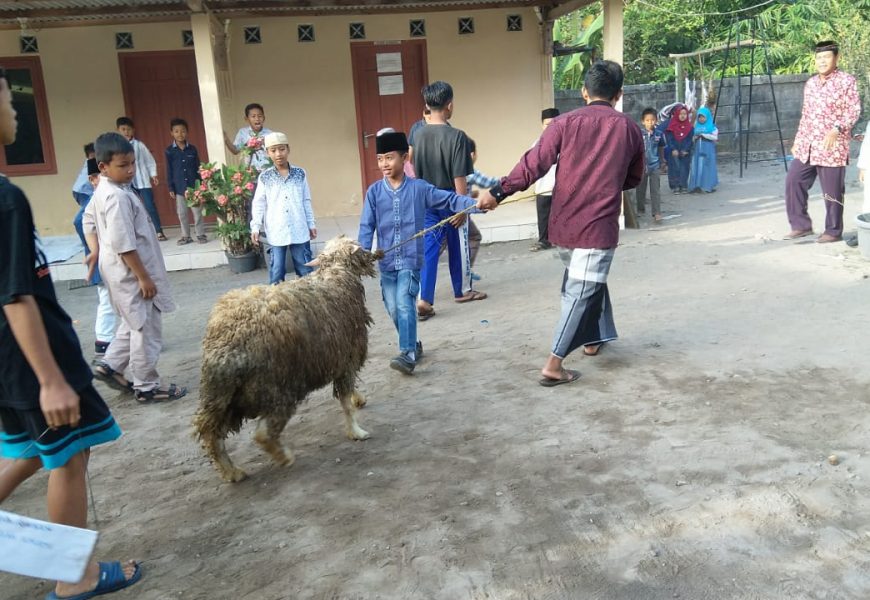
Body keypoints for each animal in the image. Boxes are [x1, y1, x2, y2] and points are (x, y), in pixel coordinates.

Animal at [194, 236, 378, 482]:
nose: (376, 255)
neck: (336, 274)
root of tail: (229, 345)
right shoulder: (347, 357)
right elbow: (345, 401)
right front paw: (356, 431)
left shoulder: (337, 359)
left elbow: (346, 393)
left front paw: (359, 399)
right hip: (278, 387)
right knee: (263, 433)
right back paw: (283, 457)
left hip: (221, 397)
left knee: (211, 435)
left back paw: (231, 471)